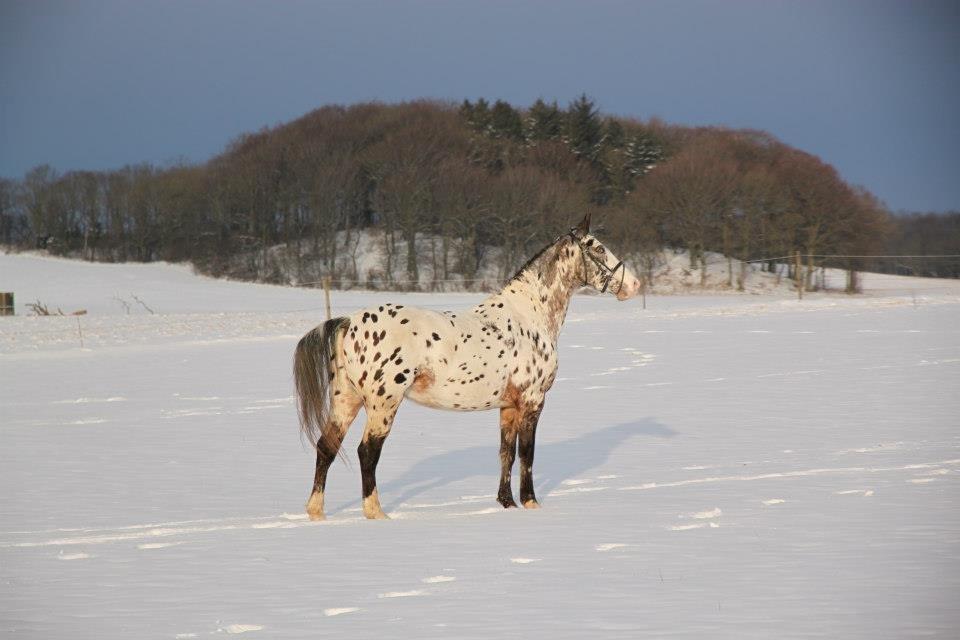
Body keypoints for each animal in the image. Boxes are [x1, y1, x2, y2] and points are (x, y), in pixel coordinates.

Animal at [288, 212, 640, 524]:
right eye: (597, 248)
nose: (634, 284)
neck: (529, 316)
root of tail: (349, 322)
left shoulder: (508, 406)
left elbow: (506, 452)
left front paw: (506, 503)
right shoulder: (532, 401)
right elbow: (527, 454)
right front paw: (530, 503)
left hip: (347, 399)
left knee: (327, 447)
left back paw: (317, 513)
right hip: (383, 403)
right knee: (367, 452)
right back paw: (376, 513)